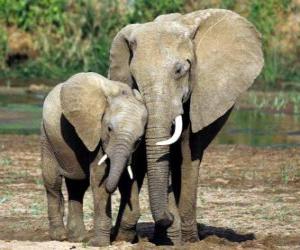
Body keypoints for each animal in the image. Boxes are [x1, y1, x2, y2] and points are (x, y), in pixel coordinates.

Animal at [41, 71, 148, 245]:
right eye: (109, 129)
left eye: (139, 140)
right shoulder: (95, 134)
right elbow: (99, 180)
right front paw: (99, 244)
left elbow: (128, 180)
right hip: (47, 137)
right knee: (53, 183)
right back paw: (60, 236)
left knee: (77, 186)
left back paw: (77, 238)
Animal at [109, 8, 264, 243]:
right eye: (134, 77)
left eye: (180, 71)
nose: (168, 217)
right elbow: (140, 156)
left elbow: (187, 152)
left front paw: (183, 238)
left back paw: (186, 237)